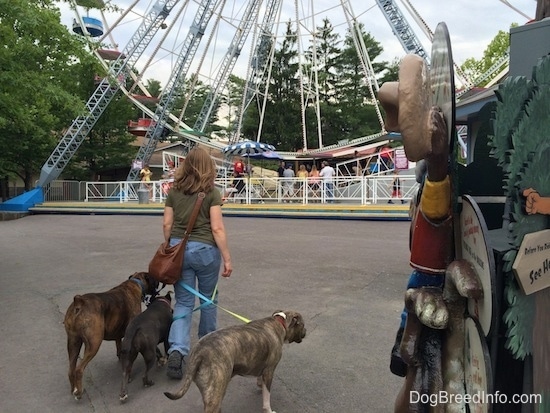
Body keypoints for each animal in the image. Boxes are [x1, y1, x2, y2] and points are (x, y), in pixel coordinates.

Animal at [65, 270, 160, 400]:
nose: (158, 285)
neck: (136, 282)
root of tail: (79, 302)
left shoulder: (118, 336)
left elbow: (119, 348)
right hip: (94, 343)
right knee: (79, 370)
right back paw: (79, 392)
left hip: (73, 342)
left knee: (71, 369)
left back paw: (73, 389)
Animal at [166, 308, 308, 412]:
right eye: (303, 324)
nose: (306, 331)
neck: (280, 323)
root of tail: (200, 352)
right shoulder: (269, 371)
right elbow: (267, 398)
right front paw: (268, 409)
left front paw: (259, 384)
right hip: (216, 394)